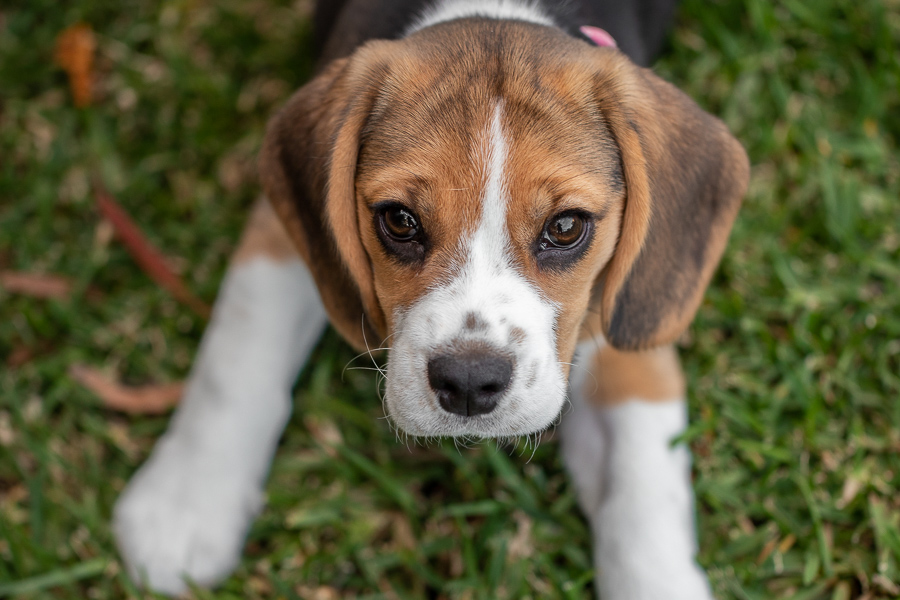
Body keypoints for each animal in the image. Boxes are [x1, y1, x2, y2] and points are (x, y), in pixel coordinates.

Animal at [112, 1, 748, 596]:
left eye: (567, 227)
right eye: (399, 220)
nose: (468, 382)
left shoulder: (629, 313)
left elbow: (641, 479)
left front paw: (659, 579)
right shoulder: (281, 231)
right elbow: (238, 358)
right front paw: (185, 505)